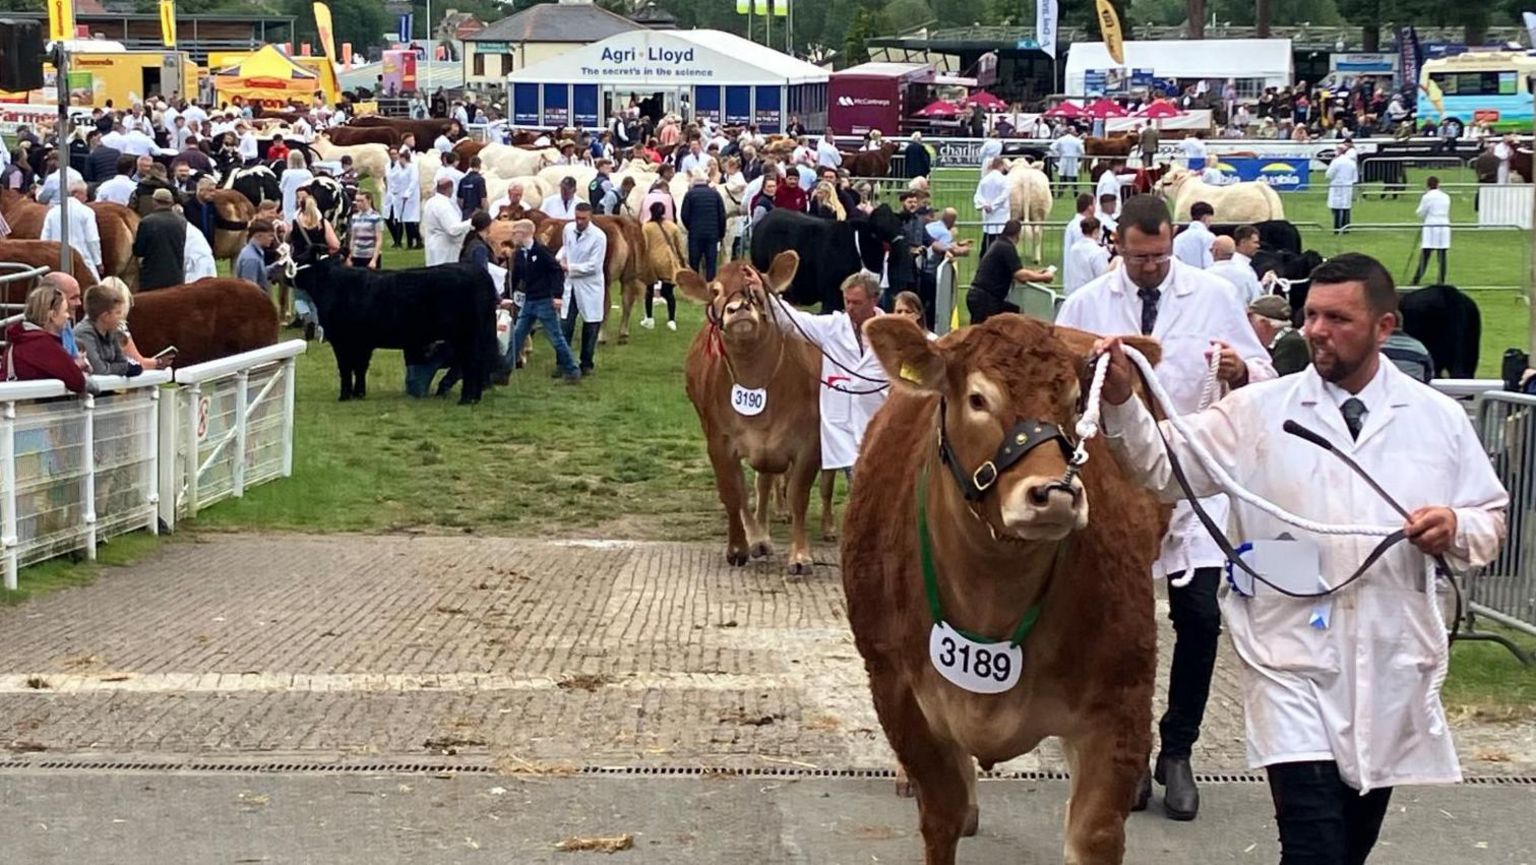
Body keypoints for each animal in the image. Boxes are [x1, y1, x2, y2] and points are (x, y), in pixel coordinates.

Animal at [291, 250, 497, 405]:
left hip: (466, 336)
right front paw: (359, 393)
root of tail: (479, 272)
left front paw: (345, 396)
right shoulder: (363, 343)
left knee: (471, 363)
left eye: (300, 258)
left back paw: (466, 399)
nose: (285, 269)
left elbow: (346, 368)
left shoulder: (342, 341)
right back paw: (475, 398)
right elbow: (360, 367)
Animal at [681, 250, 829, 574]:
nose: (738, 308)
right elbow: (732, 493)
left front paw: (800, 555)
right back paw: (757, 538)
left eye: (759, 285)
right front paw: (738, 547)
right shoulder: (719, 443)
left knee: (765, 482)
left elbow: (798, 495)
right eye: (715, 291)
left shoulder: (809, 443)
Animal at [841, 313, 1161, 865]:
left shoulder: (1121, 703)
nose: (1055, 494)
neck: (992, 600)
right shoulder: (896, 689)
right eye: (977, 398)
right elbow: (942, 813)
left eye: (1077, 402)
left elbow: (1094, 834)